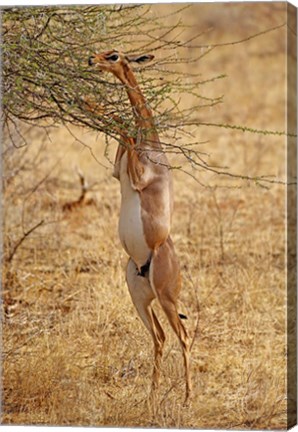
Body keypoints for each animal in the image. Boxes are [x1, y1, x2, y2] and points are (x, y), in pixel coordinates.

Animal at [88, 49, 191, 402]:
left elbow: (123, 126)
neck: (153, 147)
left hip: (166, 298)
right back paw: (151, 394)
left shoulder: (136, 176)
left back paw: (187, 398)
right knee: (159, 336)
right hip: (139, 297)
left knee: (184, 336)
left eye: (114, 55)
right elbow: (124, 129)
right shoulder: (118, 171)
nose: (91, 61)